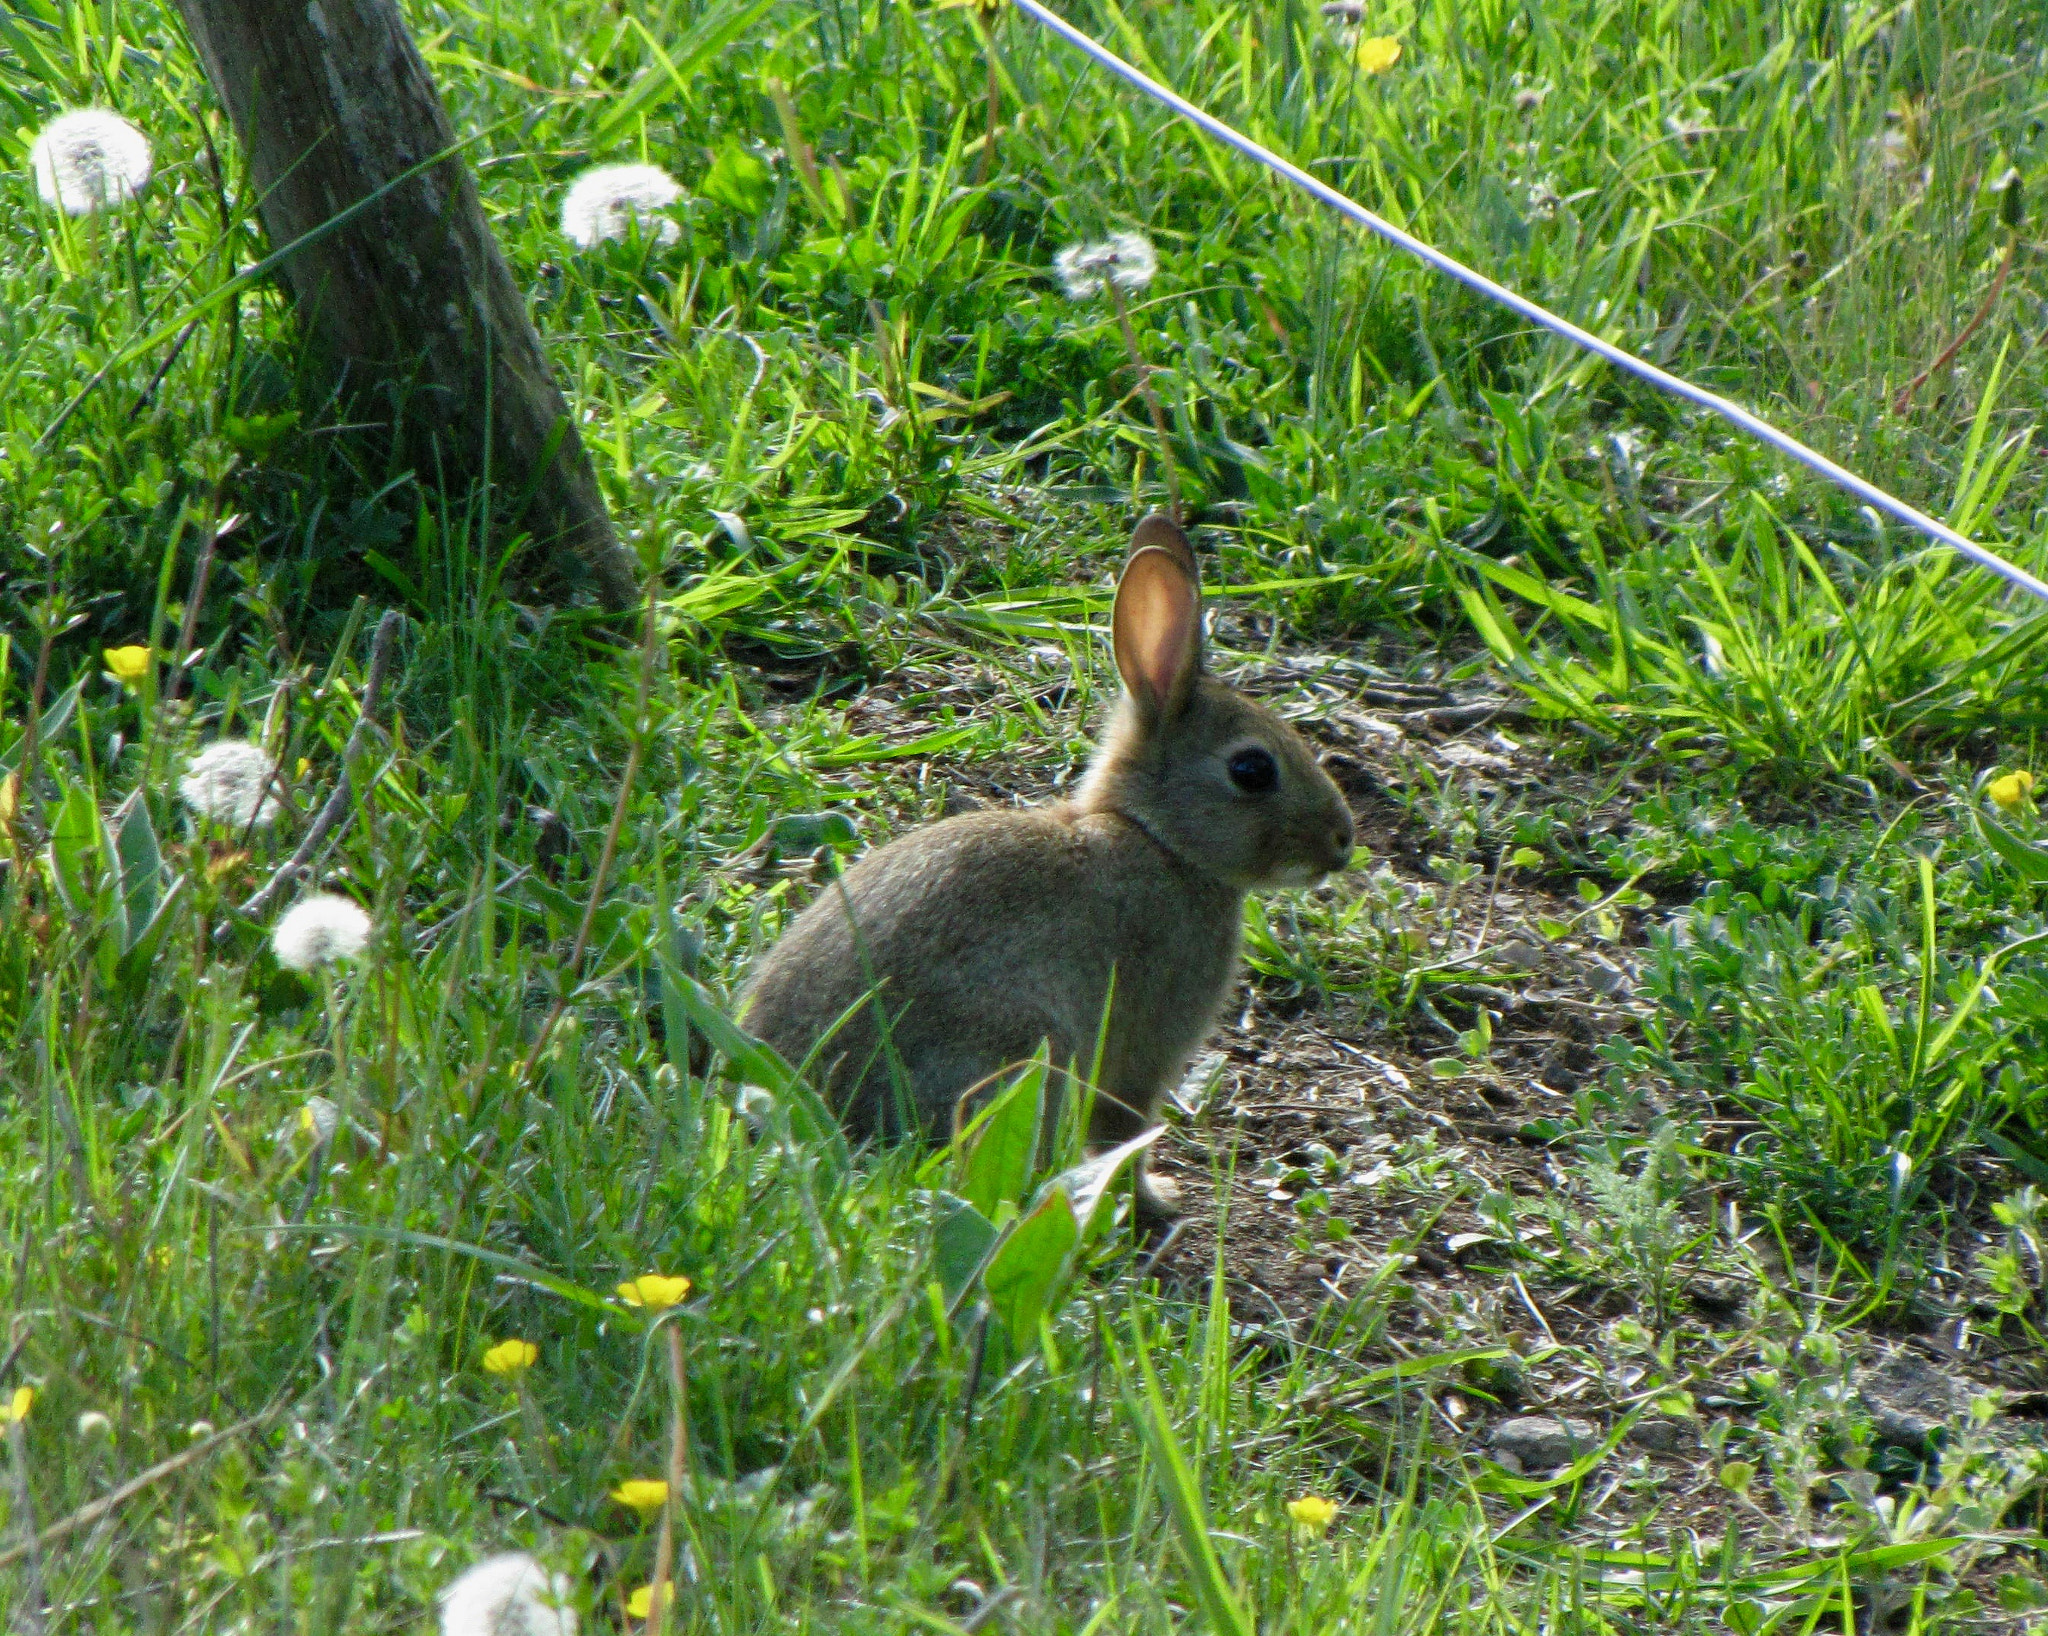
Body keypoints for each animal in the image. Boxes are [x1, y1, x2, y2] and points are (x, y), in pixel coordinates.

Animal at [741, 511, 1359, 1212]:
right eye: (1252, 770)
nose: (1342, 841)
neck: (1160, 840)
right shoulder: (1142, 1046)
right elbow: (1123, 1131)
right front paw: (1155, 1201)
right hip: (1024, 1051)